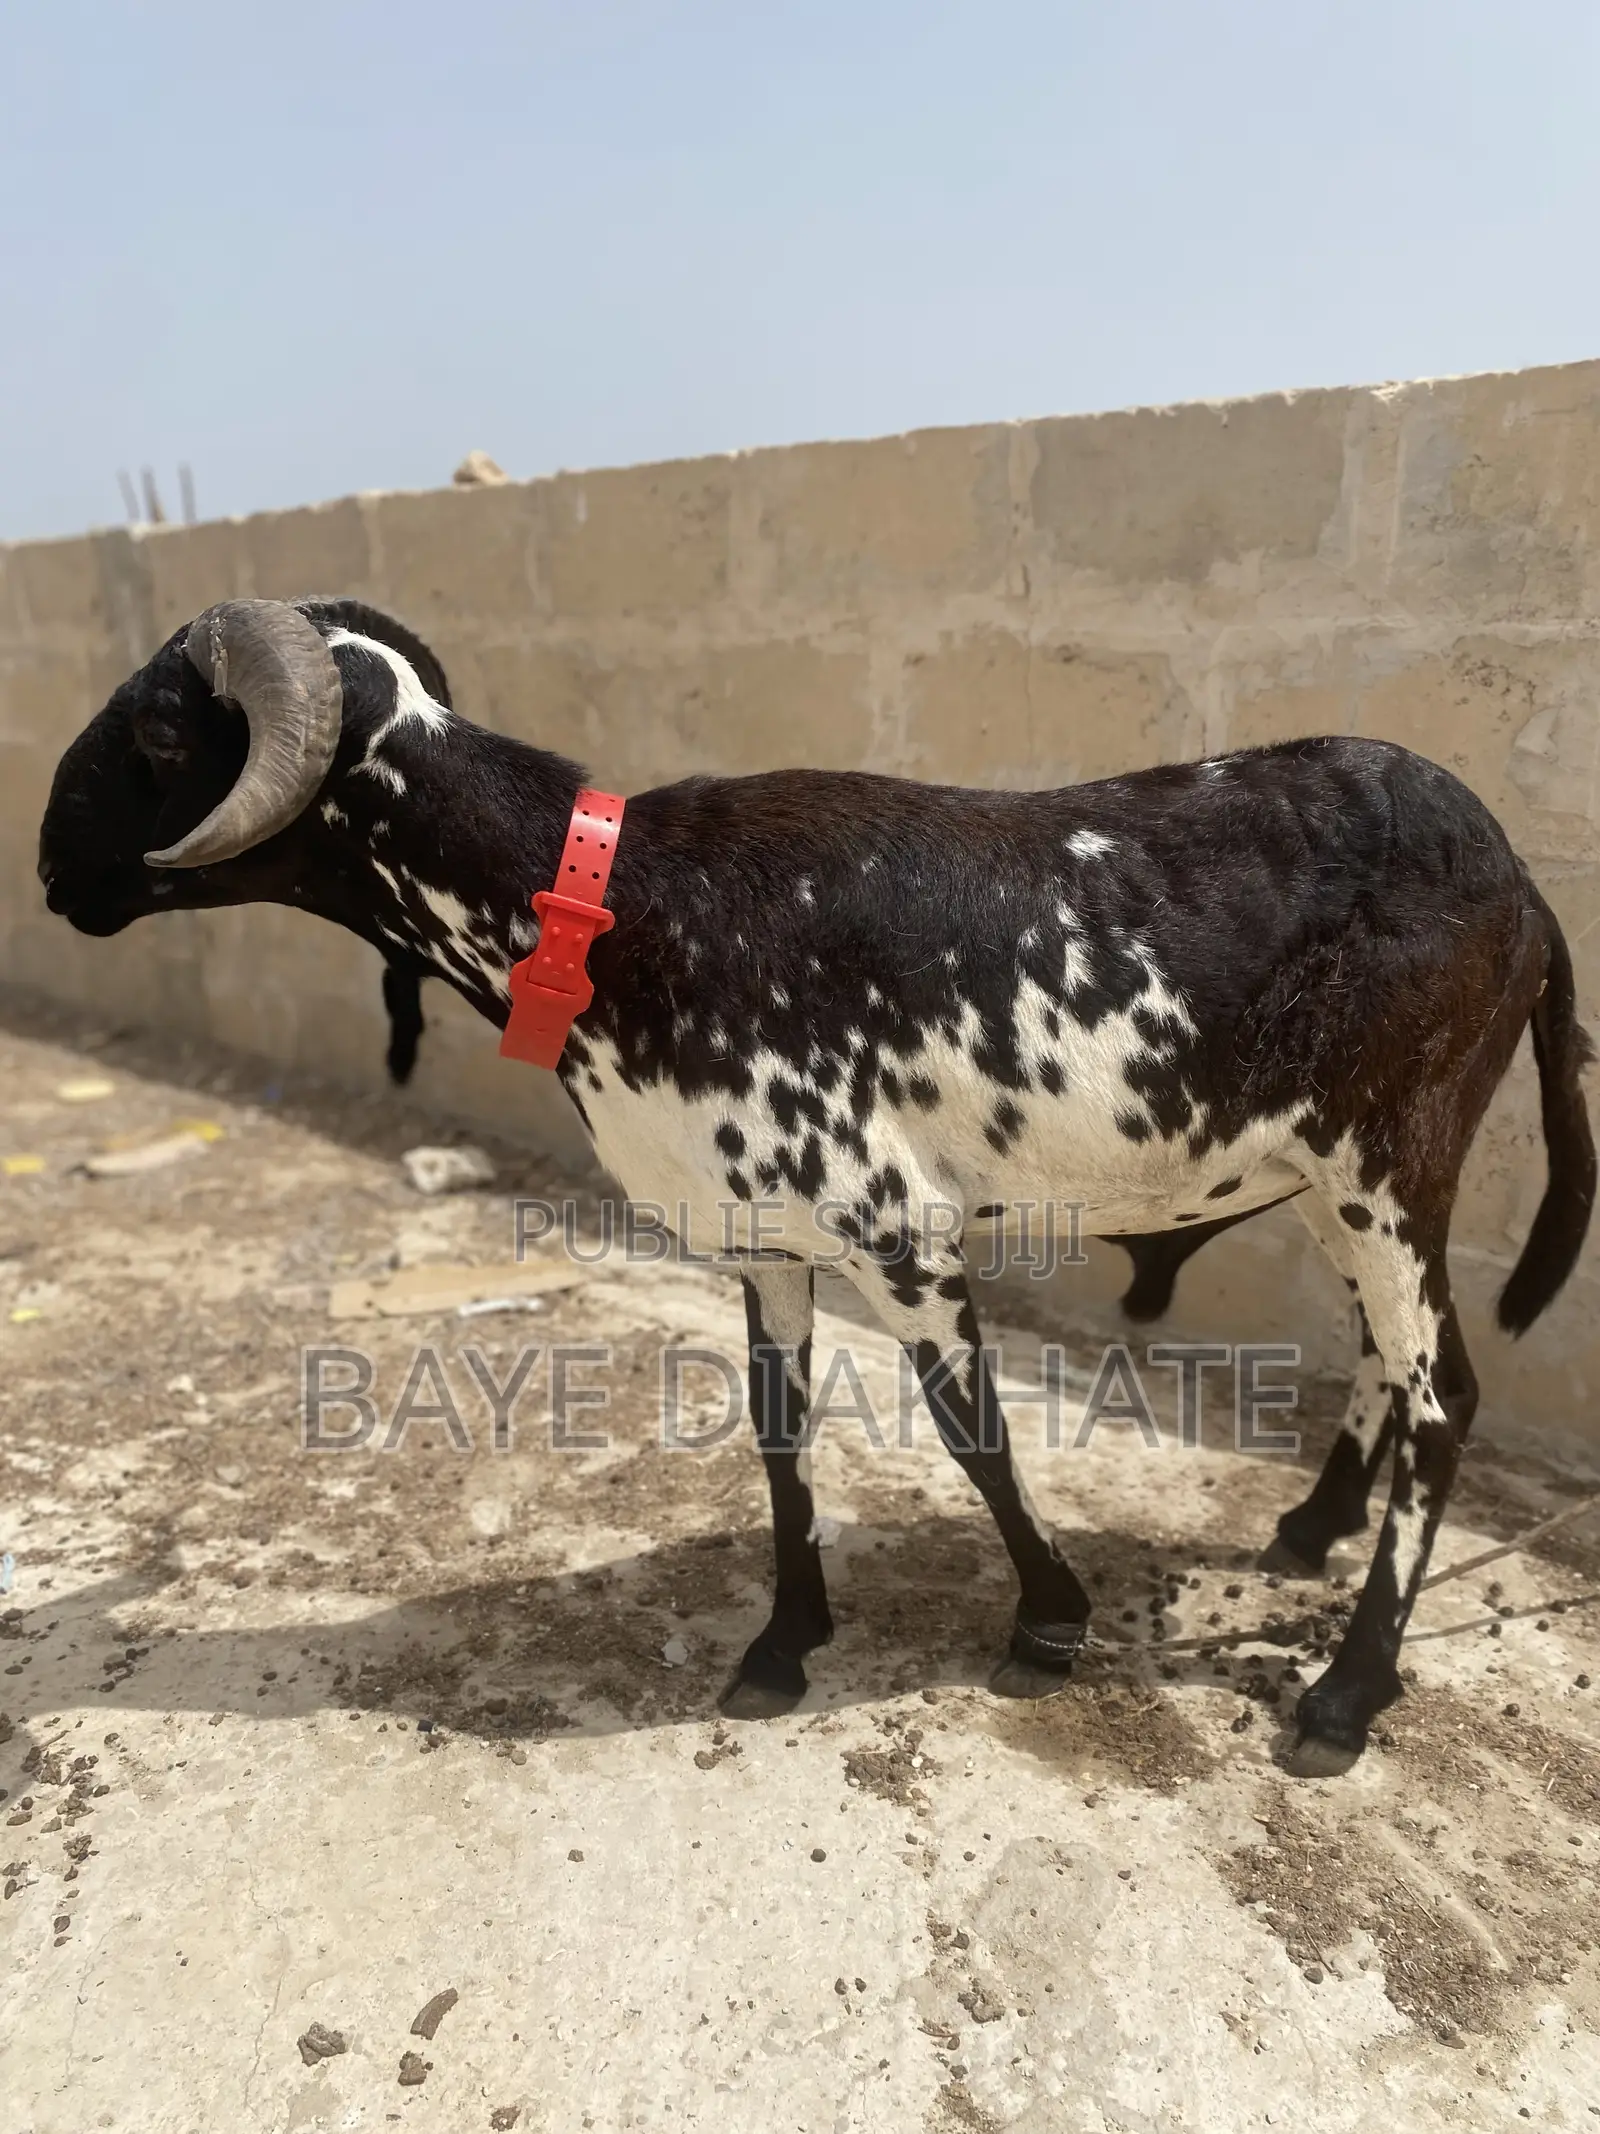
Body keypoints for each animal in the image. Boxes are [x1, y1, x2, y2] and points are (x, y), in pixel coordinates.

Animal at [38, 597, 1594, 1777]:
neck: (615, 909)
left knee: (1447, 1392)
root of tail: (1525, 888)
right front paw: (783, 1645)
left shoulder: (894, 1225)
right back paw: (1309, 1531)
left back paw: (1346, 1694)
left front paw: (1047, 1625)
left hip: (1395, 1155)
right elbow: (779, 1429)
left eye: (165, 731)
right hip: (1336, 1177)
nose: (52, 870)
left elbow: (972, 1430)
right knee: (1387, 1357)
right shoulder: (758, 1236)